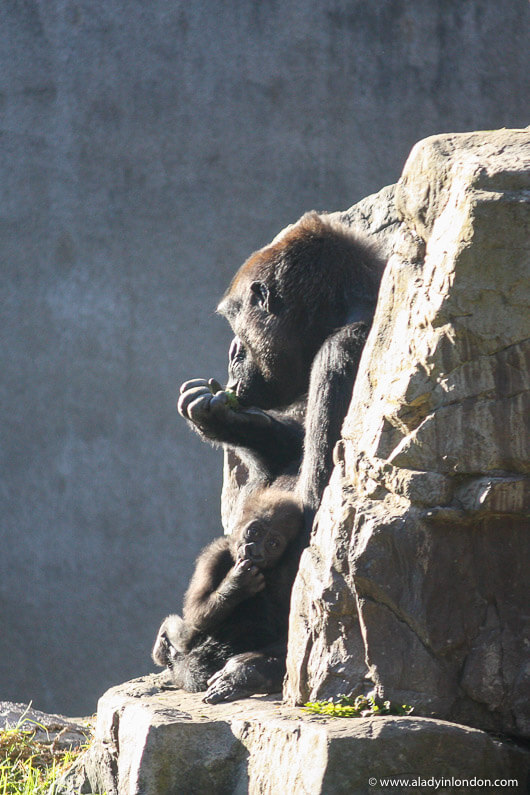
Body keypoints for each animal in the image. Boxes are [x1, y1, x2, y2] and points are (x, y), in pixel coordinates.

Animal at [152, 488, 304, 703]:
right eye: (254, 532)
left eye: (272, 544)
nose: (254, 551)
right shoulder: (215, 553)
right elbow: (196, 612)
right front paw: (237, 583)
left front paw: (242, 672)